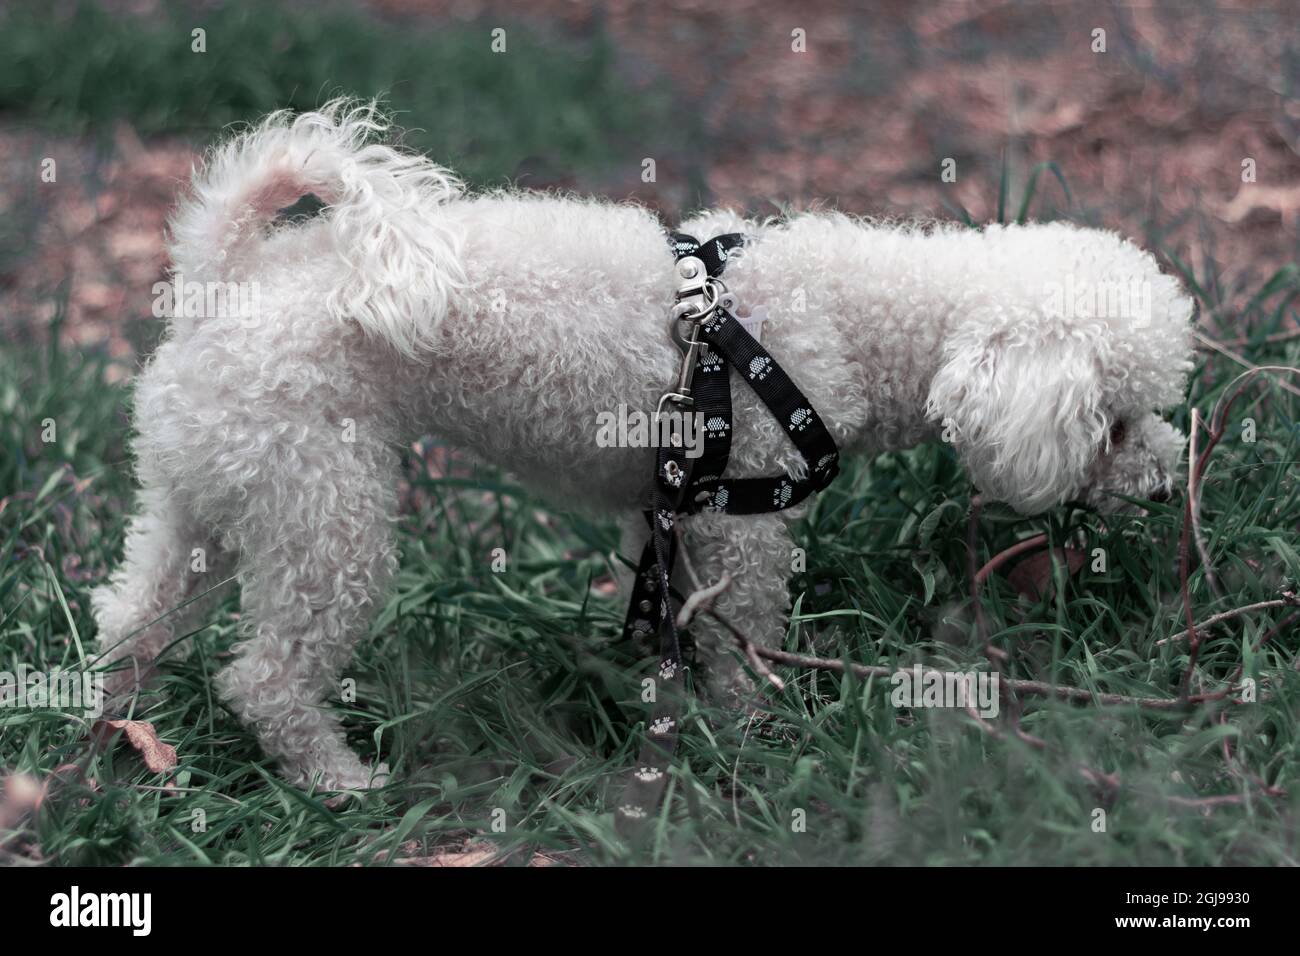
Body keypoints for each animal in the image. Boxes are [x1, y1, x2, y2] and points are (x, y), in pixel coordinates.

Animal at [89, 104, 1190, 790]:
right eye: (1113, 422)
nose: (1165, 483)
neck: (859, 321)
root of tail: (226, 275)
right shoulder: (743, 516)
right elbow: (740, 638)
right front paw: (756, 730)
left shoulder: (671, 508)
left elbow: (671, 614)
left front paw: (677, 708)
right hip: (326, 512)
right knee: (266, 678)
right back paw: (338, 781)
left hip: (207, 493)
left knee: (129, 617)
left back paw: (112, 736)